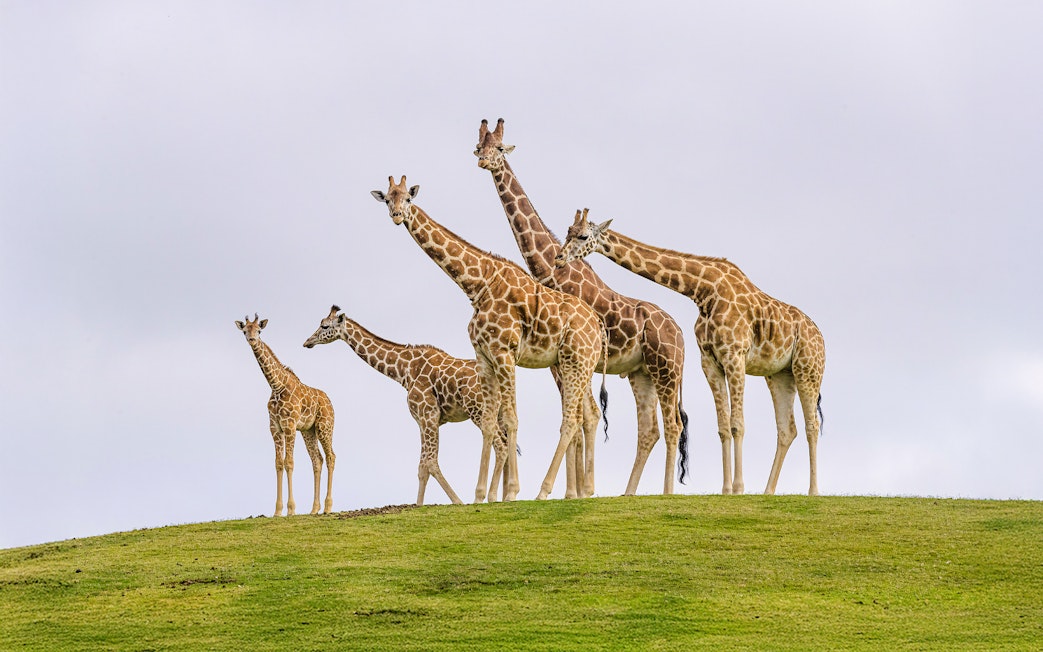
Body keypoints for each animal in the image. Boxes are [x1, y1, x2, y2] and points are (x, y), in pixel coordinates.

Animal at [235, 313, 336, 515]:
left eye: (259, 330)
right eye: (244, 331)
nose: (252, 340)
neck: (276, 385)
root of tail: (331, 403)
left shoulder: (289, 425)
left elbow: (289, 462)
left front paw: (291, 510)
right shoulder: (275, 427)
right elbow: (278, 463)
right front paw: (277, 511)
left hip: (325, 426)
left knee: (331, 457)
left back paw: (328, 507)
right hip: (308, 431)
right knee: (317, 460)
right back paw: (314, 509)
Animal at [303, 304, 509, 506]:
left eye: (325, 326)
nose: (307, 342)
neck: (405, 370)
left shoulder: (428, 414)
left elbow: (430, 463)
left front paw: (457, 501)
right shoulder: (422, 420)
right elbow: (422, 467)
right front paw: (419, 505)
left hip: (478, 410)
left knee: (500, 444)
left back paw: (489, 496)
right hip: (497, 411)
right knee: (506, 442)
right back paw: (505, 495)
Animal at [371, 176, 606, 502]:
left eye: (407, 198)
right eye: (387, 199)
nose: (396, 216)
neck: (477, 284)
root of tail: (598, 324)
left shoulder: (505, 353)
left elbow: (510, 418)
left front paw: (511, 493)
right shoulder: (484, 357)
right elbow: (487, 424)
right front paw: (480, 495)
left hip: (577, 361)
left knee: (571, 419)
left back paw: (544, 492)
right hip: (573, 363)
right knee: (589, 415)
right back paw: (584, 492)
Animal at [475, 118, 690, 495]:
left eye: (500, 148)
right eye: (478, 146)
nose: (484, 161)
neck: (551, 269)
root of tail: (680, 334)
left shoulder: (572, 357)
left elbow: (581, 416)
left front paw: (573, 492)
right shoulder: (559, 361)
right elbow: (578, 416)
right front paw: (573, 491)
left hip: (667, 370)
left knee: (673, 426)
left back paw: (664, 493)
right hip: (642, 373)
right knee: (649, 429)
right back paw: (627, 493)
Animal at [555, 209, 826, 496]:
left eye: (584, 236)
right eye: (568, 232)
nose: (559, 258)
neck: (703, 291)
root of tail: (820, 338)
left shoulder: (735, 355)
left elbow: (737, 423)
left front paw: (739, 488)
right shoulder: (710, 361)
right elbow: (723, 427)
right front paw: (726, 489)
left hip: (807, 369)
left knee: (812, 425)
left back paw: (813, 491)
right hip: (780, 374)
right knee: (788, 429)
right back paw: (768, 492)